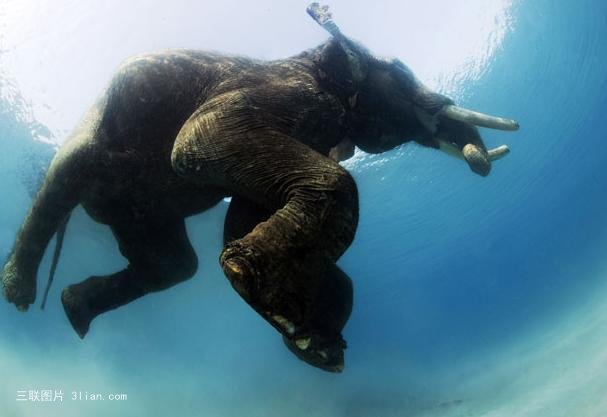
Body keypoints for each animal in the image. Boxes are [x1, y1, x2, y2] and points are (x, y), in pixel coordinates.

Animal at [2, 4, 520, 372]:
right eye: (402, 74)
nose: (490, 152)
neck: (314, 58)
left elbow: (244, 215)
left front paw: (313, 345)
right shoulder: (280, 93)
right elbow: (194, 142)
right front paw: (261, 294)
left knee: (175, 265)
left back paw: (73, 311)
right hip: (90, 147)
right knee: (64, 180)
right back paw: (20, 294)